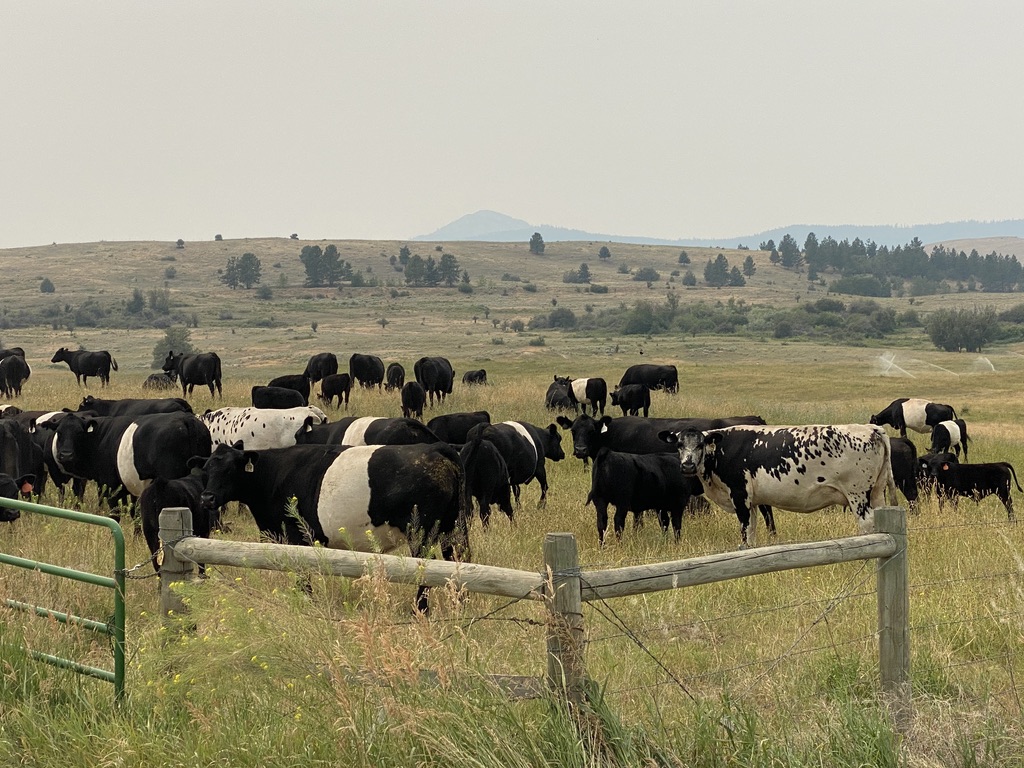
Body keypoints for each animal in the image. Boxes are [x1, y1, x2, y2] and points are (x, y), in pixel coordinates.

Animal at [52, 409, 212, 518]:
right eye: (59, 433)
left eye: (79, 433)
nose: (66, 455)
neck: (101, 437)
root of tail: (186, 419)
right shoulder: (133, 486)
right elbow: (134, 512)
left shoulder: (110, 486)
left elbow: (115, 513)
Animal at [193, 438, 468, 614]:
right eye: (206, 468)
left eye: (231, 469)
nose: (207, 498)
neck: (274, 474)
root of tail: (435, 448)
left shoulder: (297, 535)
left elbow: (303, 575)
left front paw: (307, 602)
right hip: (452, 528)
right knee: (457, 559)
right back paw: (460, 604)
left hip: (422, 532)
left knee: (426, 566)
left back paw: (420, 610)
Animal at [659, 428, 892, 548]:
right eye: (679, 445)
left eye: (700, 444)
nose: (687, 465)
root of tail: (872, 429)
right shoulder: (751, 502)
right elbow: (752, 532)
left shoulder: (740, 496)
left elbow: (745, 531)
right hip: (877, 493)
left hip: (858, 495)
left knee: (867, 524)